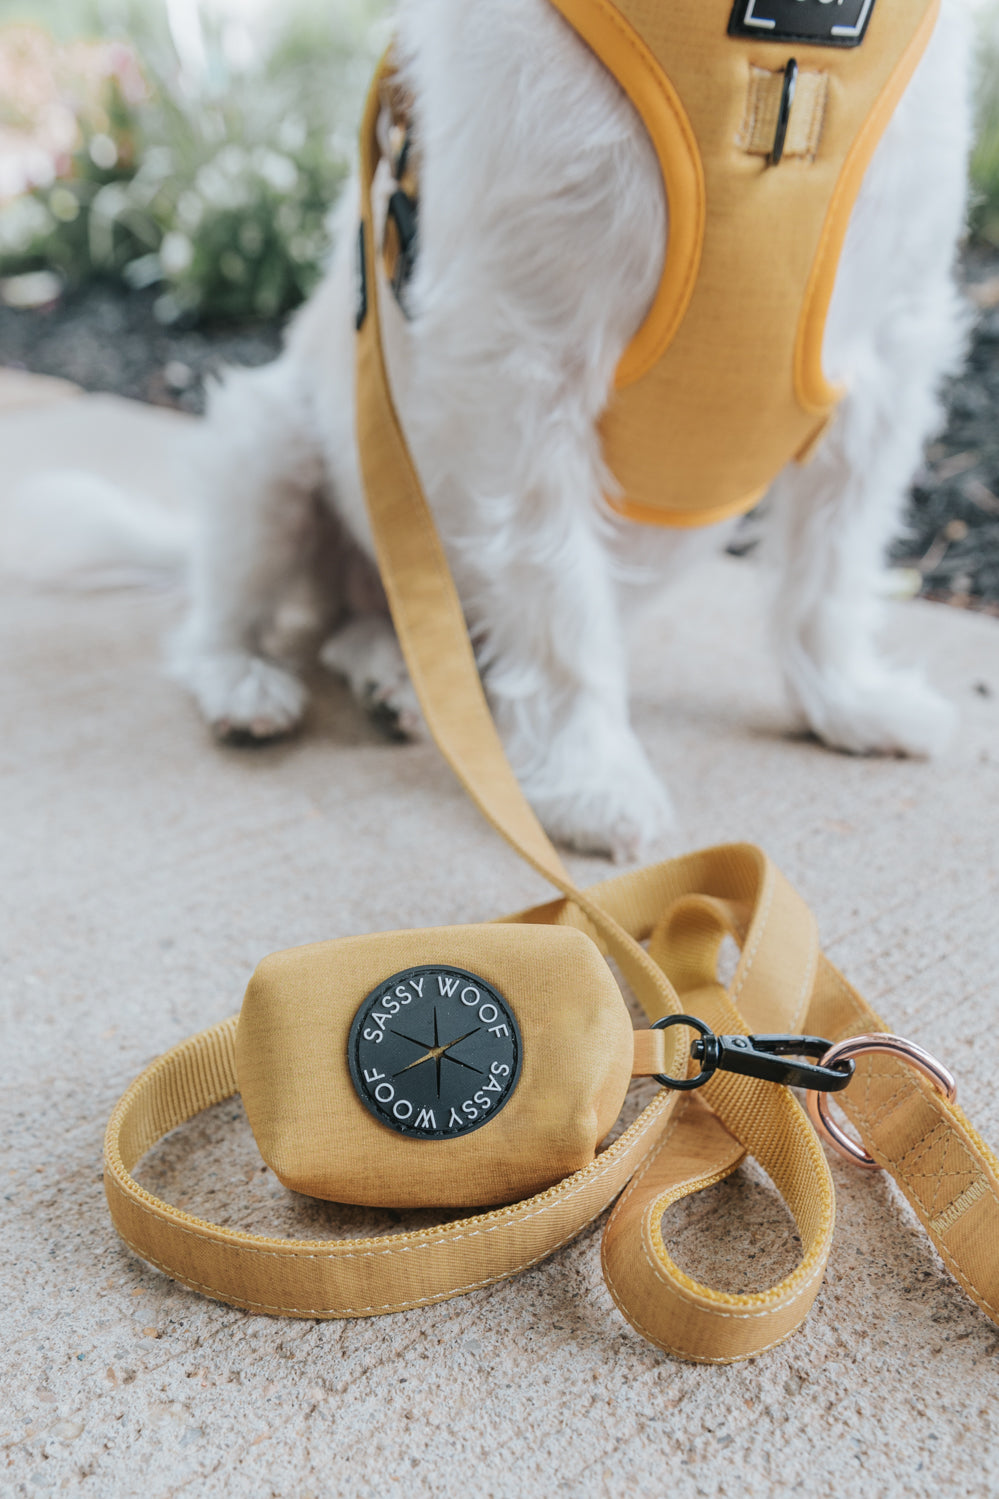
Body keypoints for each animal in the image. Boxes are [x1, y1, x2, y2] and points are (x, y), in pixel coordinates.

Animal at [167, 0, 966, 863]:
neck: (776, 51)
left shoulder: (888, 352)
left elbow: (832, 565)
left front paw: (846, 697)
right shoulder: (523, 362)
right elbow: (557, 597)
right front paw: (589, 773)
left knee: (386, 629)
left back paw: (400, 680)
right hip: (269, 446)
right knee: (223, 618)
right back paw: (245, 683)